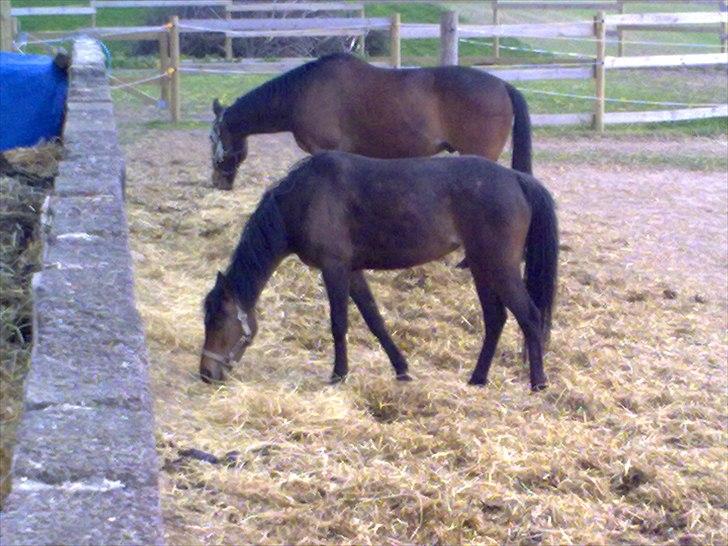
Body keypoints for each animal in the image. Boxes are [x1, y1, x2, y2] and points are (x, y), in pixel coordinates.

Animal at [199, 151, 556, 388]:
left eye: (218, 321)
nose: (206, 374)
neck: (305, 198)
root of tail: (516, 179)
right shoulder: (352, 271)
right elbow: (374, 320)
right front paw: (401, 368)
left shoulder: (335, 268)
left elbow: (338, 323)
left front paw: (338, 374)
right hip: (483, 267)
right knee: (495, 320)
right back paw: (478, 378)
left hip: (499, 267)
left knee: (529, 316)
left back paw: (538, 382)